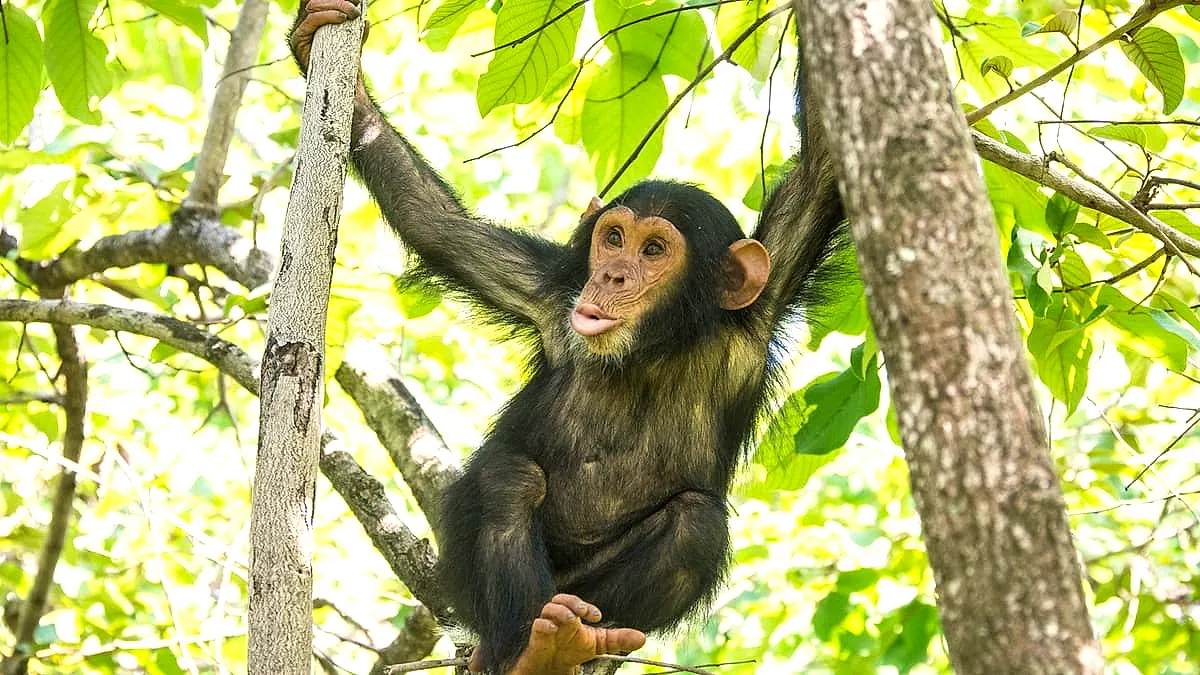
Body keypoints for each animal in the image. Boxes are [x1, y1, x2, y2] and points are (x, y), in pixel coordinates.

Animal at [291, 4, 844, 674]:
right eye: (614, 238)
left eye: (653, 251)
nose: (611, 275)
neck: (653, 349)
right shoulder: (550, 293)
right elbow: (438, 226)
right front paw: (327, 60)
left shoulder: (761, 309)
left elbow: (822, 173)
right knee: (510, 478)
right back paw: (532, 648)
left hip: (583, 589)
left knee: (696, 525)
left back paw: (572, 642)